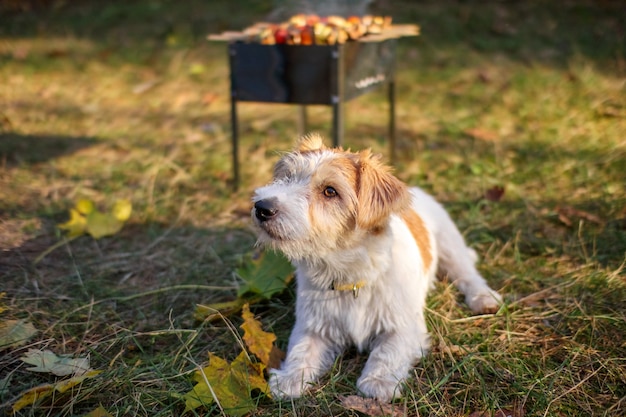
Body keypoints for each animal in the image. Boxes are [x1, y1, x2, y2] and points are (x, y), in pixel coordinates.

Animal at [251, 133, 500, 400]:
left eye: (330, 191)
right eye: (287, 177)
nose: (262, 207)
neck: (349, 275)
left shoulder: (404, 327)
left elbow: (387, 352)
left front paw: (378, 382)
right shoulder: (312, 326)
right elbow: (301, 349)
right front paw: (290, 379)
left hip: (450, 246)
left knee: (468, 275)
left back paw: (484, 298)